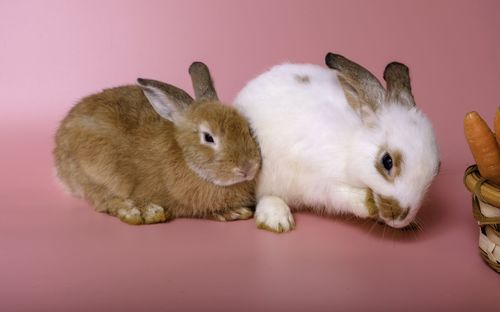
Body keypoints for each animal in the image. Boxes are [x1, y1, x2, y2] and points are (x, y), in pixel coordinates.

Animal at [52, 62, 260, 224]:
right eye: (208, 137)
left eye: (246, 127)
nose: (248, 168)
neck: (187, 160)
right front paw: (234, 212)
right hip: (95, 172)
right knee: (102, 200)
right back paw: (141, 212)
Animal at [233, 53, 438, 232]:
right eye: (387, 161)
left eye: (437, 169)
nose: (401, 219)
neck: (351, 146)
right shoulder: (317, 179)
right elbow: (339, 195)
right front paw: (367, 204)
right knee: (267, 195)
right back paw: (277, 220)